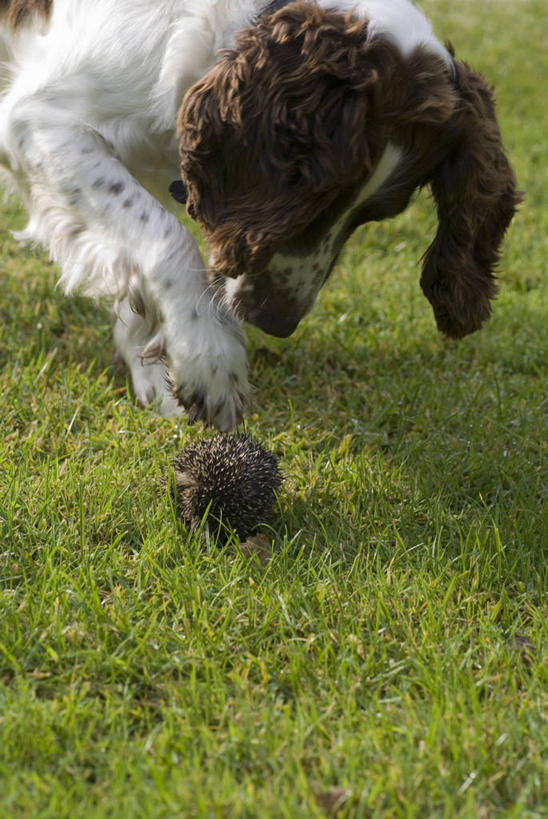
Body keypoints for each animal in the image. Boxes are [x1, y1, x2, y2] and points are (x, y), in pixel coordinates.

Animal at [0, 0, 520, 432]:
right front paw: (208, 358)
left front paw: (156, 371)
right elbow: (164, 235)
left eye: (373, 215)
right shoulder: (38, 122)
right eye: (314, 196)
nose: (275, 321)